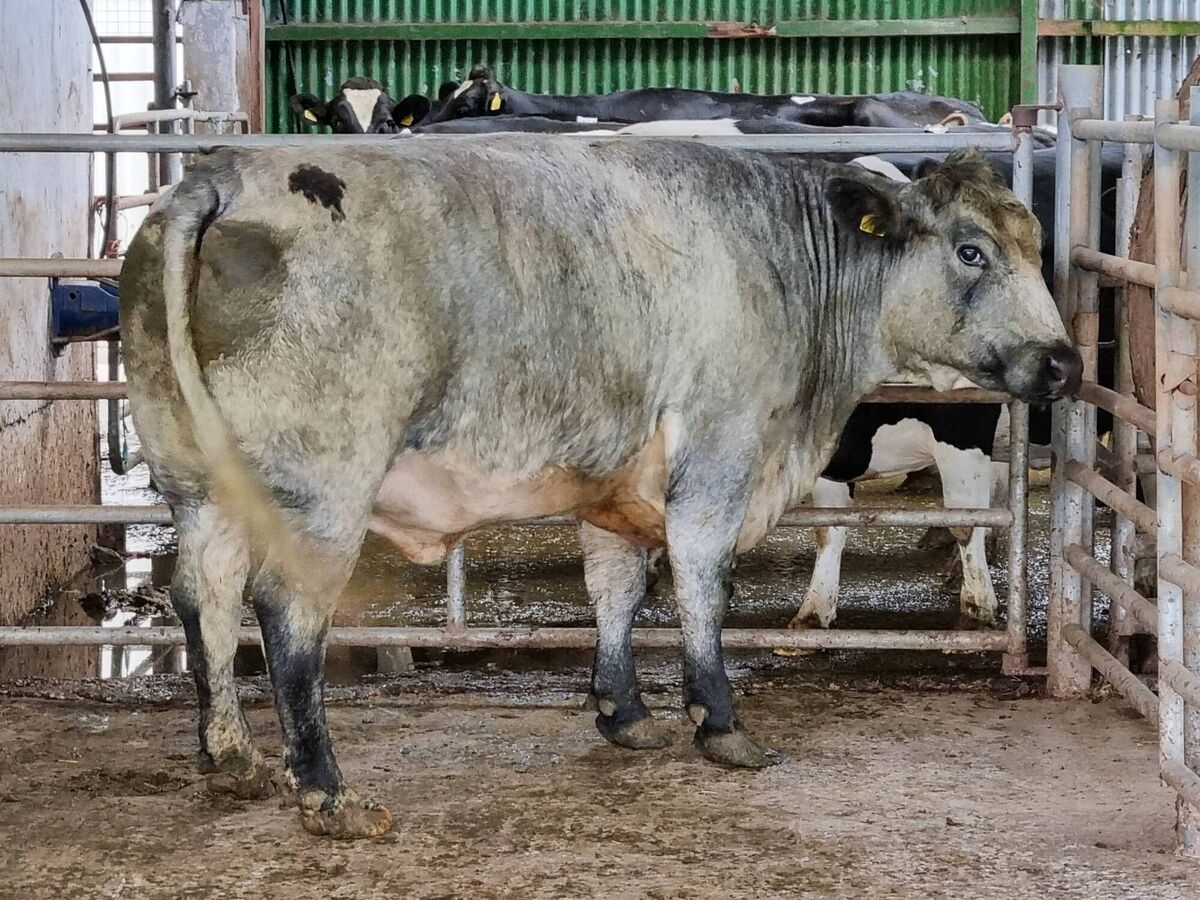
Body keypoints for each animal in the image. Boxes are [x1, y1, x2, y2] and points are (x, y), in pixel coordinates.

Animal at [121, 137, 1079, 837]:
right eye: (971, 250)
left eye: (1036, 247)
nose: (1065, 363)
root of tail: (220, 175)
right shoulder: (718, 453)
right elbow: (699, 583)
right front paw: (720, 722)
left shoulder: (614, 478)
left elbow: (615, 588)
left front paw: (622, 710)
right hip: (323, 488)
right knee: (287, 615)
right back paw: (325, 791)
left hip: (195, 479)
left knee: (202, 594)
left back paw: (231, 756)